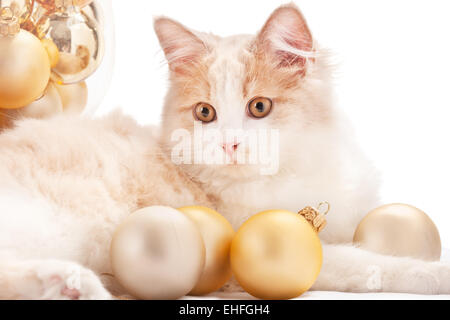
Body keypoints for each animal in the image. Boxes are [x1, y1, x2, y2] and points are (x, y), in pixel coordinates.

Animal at [0, 3, 450, 298]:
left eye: (259, 107)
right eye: (205, 112)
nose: (229, 144)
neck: (292, 171)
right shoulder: (256, 246)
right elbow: (370, 264)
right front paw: (436, 274)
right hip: (60, 220)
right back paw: (74, 284)